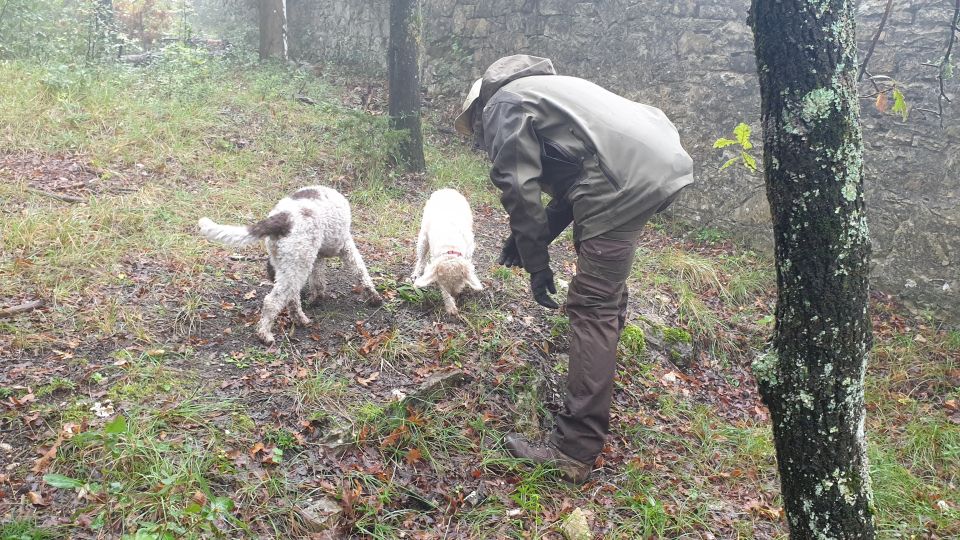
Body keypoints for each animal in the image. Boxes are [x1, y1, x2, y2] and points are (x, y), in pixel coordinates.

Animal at [199, 186, 382, 346]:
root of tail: (283, 218)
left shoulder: (317, 257)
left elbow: (318, 281)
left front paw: (317, 298)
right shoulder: (345, 246)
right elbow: (360, 271)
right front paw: (374, 297)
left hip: (292, 263)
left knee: (292, 296)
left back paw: (300, 320)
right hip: (299, 263)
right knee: (273, 301)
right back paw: (265, 335)